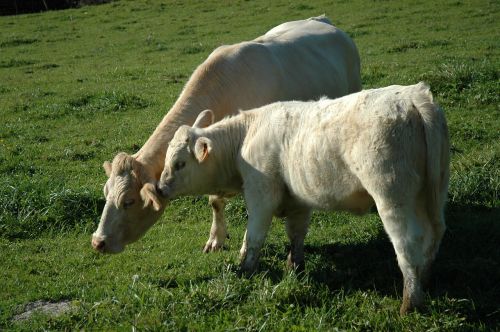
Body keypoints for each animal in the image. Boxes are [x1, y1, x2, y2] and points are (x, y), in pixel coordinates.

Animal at [92, 15, 362, 253]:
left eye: (128, 201)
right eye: (105, 194)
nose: (97, 242)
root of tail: (323, 20)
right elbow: (215, 202)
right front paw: (216, 239)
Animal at [158, 83, 452, 314]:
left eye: (180, 163)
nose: (160, 188)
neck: (245, 136)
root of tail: (414, 96)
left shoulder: (261, 194)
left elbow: (253, 237)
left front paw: (245, 269)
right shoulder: (298, 199)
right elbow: (296, 233)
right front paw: (294, 266)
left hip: (392, 195)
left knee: (408, 243)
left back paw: (410, 302)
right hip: (433, 194)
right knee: (434, 234)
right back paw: (425, 281)